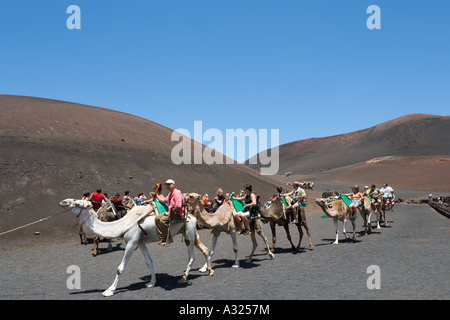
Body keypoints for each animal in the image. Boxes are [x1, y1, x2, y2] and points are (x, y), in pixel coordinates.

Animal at [60, 198, 214, 298]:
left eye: (77, 202)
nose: (63, 202)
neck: (123, 224)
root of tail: (192, 216)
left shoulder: (131, 243)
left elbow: (120, 268)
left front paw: (109, 291)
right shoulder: (140, 243)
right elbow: (149, 262)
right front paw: (151, 283)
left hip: (188, 233)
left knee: (191, 256)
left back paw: (183, 278)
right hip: (191, 231)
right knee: (204, 249)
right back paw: (209, 270)